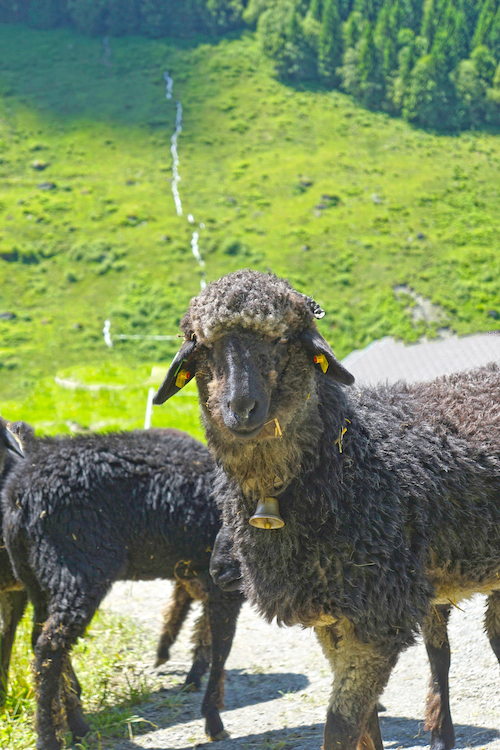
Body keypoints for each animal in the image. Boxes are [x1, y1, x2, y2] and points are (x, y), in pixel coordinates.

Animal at [1, 428, 244, 750]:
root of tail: (19, 493)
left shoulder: (206, 575)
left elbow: (205, 633)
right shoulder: (225, 582)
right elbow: (221, 649)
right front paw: (214, 720)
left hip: (36, 576)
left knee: (40, 641)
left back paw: (75, 727)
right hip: (77, 568)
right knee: (49, 648)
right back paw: (49, 737)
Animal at [152, 270, 500, 750]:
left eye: (282, 339)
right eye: (201, 345)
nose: (240, 409)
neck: (348, 461)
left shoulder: (378, 618)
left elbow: (340, 726)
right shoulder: (331, 618)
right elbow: (367, 727)